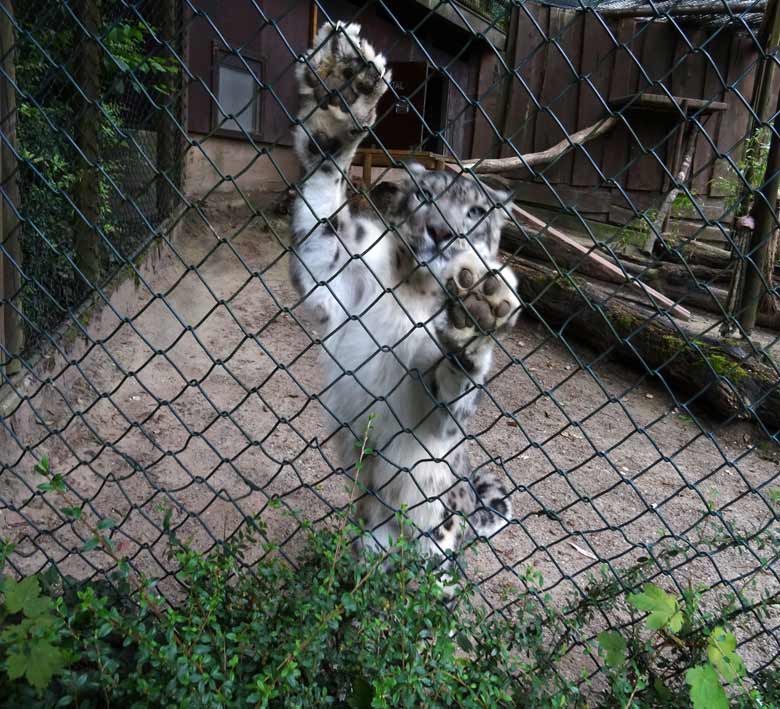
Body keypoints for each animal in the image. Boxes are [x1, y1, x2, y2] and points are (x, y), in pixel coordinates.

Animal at [286, 22, 516, 560]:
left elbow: (454, 387)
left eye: (477, 212)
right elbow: (323, 192)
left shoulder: (435, 406)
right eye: (425, 195)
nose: (441, 231)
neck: (411, 288)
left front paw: (480, 306)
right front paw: (348, 88)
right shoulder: (332, 270)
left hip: (439, 529)